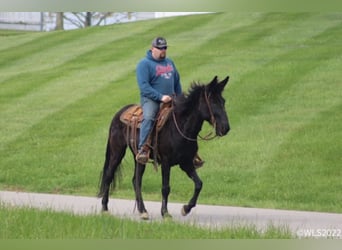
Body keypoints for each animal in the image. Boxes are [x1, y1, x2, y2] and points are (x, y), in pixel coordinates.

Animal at [98, 75, 230, 219]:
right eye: (213, 102)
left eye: (223, 101)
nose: (226, 128)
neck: (181, 127)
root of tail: (119, 113)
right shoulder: (166, 162)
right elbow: (166, 187)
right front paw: (165, 213)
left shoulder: (186, 163)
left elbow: (199, 184)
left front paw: (186, 208)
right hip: (117, 152)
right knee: (109, 176)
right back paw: (105, 208)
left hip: (138, 157)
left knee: (136, 180)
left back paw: (142, 210)